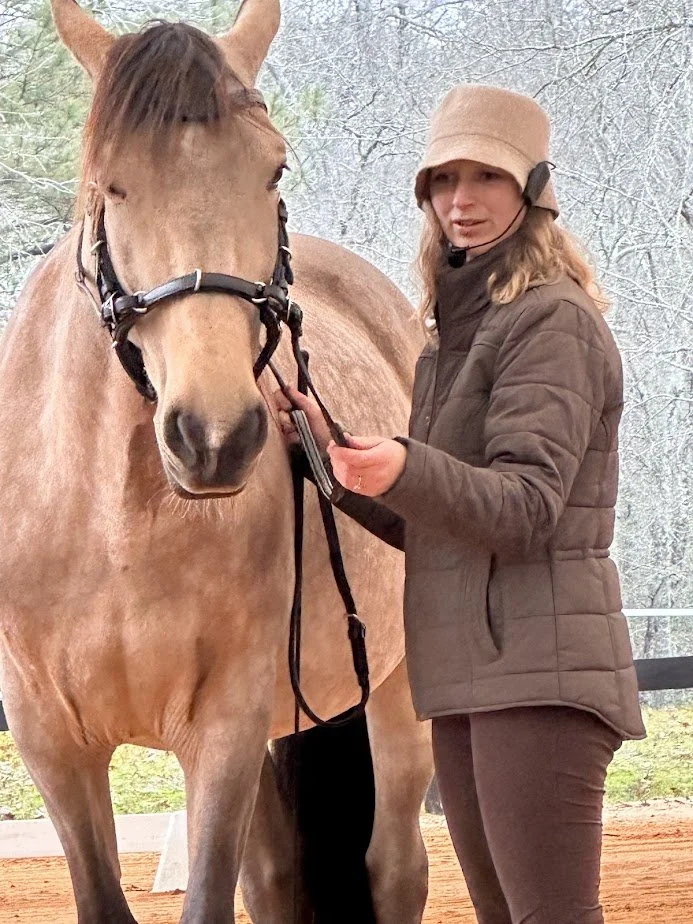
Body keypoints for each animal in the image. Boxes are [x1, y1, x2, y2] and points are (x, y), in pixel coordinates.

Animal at [0, 2, 433, 921]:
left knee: (395, 867)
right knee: (272, 881)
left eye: (272, 169)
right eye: (110, 182)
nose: (214, 435)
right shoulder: (52, 743)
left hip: (398, 691)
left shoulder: (225, 731)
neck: (113, 527)